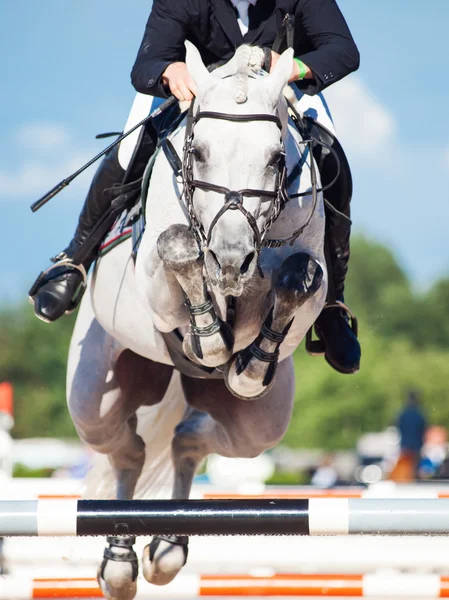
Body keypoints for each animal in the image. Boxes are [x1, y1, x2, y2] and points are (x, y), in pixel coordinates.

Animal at [67, 43, 326, 600]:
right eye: (199, 151)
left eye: (276, 159)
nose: (229, 262)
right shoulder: (155, 288)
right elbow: (177, 245)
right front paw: (208, 339)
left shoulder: (304, 290)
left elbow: (299, 278)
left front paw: (248, 361)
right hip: (95, 389)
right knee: (127, 449)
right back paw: (120, 562)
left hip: (259, 427)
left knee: (188, 437)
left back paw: (166, 547)